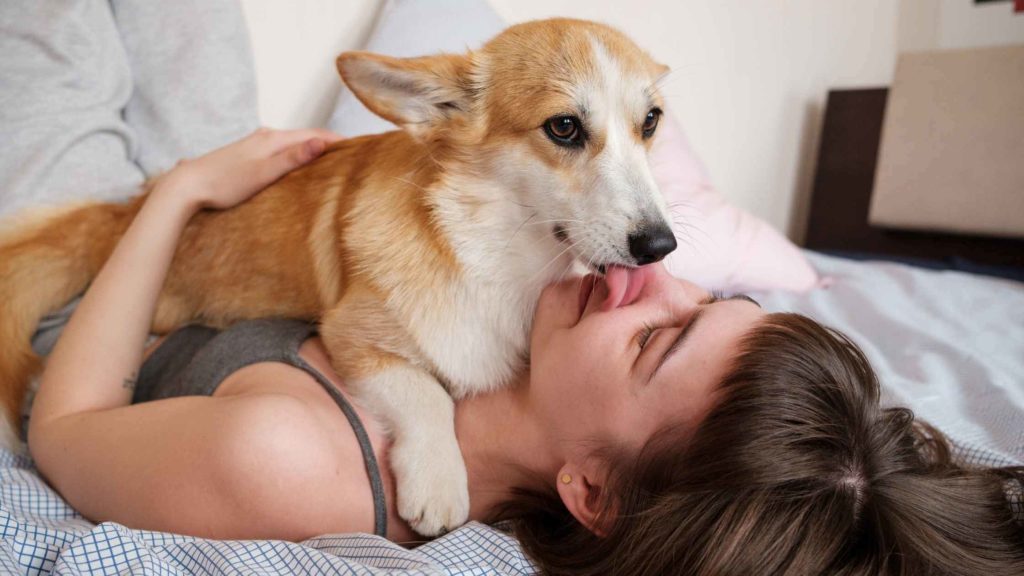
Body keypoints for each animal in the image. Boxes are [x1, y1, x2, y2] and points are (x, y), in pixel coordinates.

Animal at [0, 19, 671, 537]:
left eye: (652, 122)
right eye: (564, 127)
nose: (661, 245)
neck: (501, 259)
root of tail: (124, 215)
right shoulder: (352, 337)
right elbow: (426, 392)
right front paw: (438, 481)